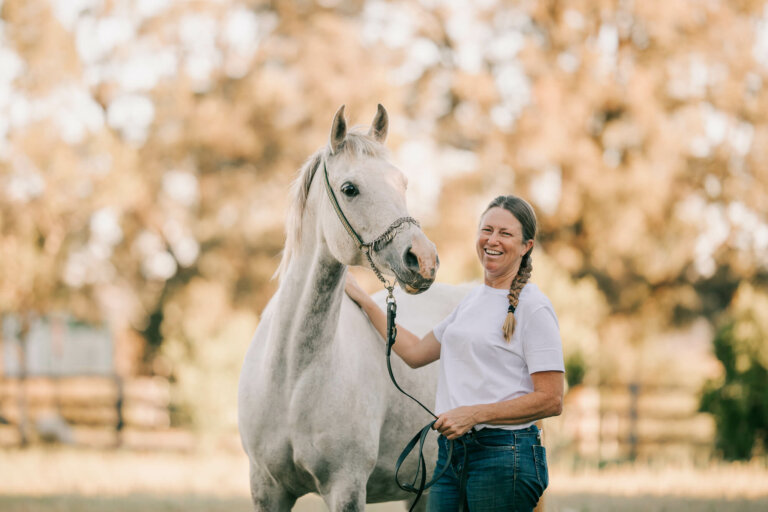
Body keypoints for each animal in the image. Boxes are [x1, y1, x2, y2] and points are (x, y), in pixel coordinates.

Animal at [238, 105, 467, 511]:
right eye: (349, 189)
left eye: (403, 183)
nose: (424, 260)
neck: (292, 376)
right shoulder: (266, 490)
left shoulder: (345, 488)